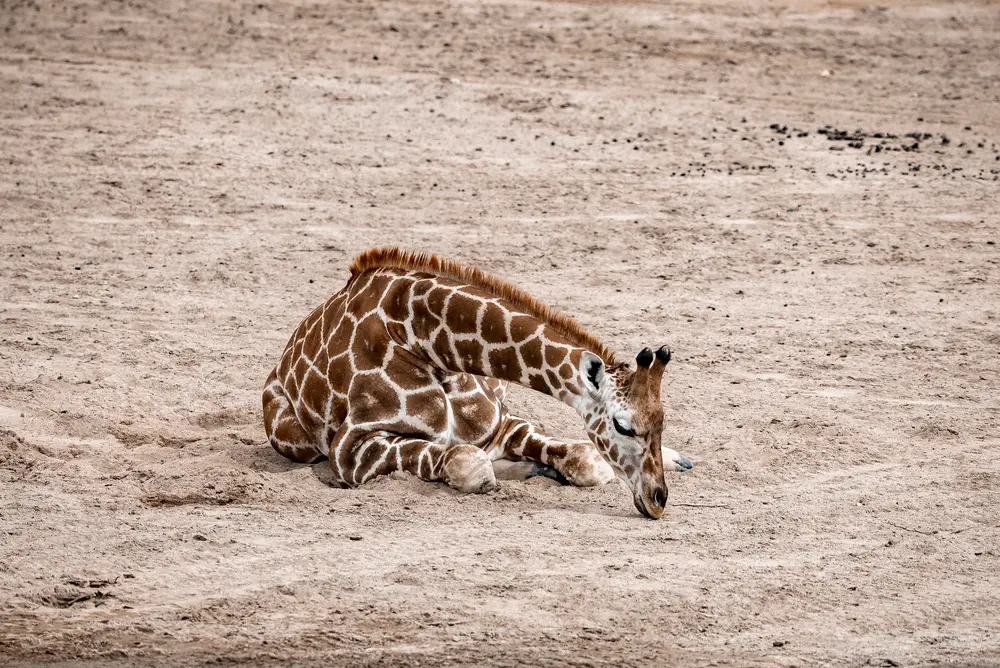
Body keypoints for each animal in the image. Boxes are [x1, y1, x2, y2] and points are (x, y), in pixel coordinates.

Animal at [262, 248, 693, 519]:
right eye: (623, 426)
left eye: (662, 422)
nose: (658, 500)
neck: (426, 344)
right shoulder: (353, 450)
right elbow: (468, 463)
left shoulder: (500, 423)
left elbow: (585, 458)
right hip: (292, 438)